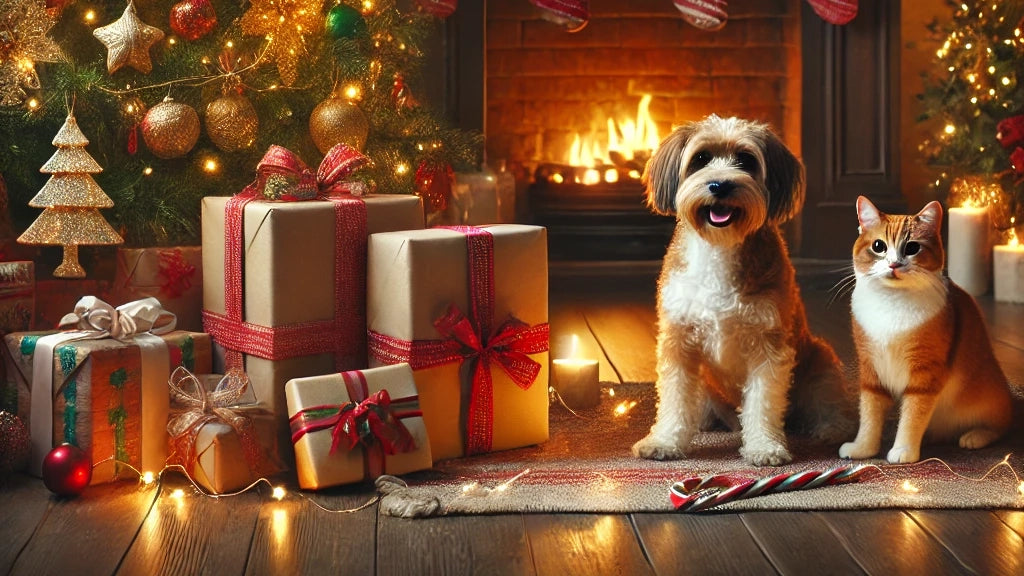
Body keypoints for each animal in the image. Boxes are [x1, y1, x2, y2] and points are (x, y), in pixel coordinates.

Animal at [839, 195, 1015, 461]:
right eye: (879, 246)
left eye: (912, 248)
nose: (894, 264)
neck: (891, 302)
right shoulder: (871, 370)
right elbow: (870, 413)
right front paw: (863, 448)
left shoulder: (924, 375)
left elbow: (912, 415)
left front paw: (903, 451)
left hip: (988, 396)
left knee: (1000, 425)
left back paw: (975, 436)